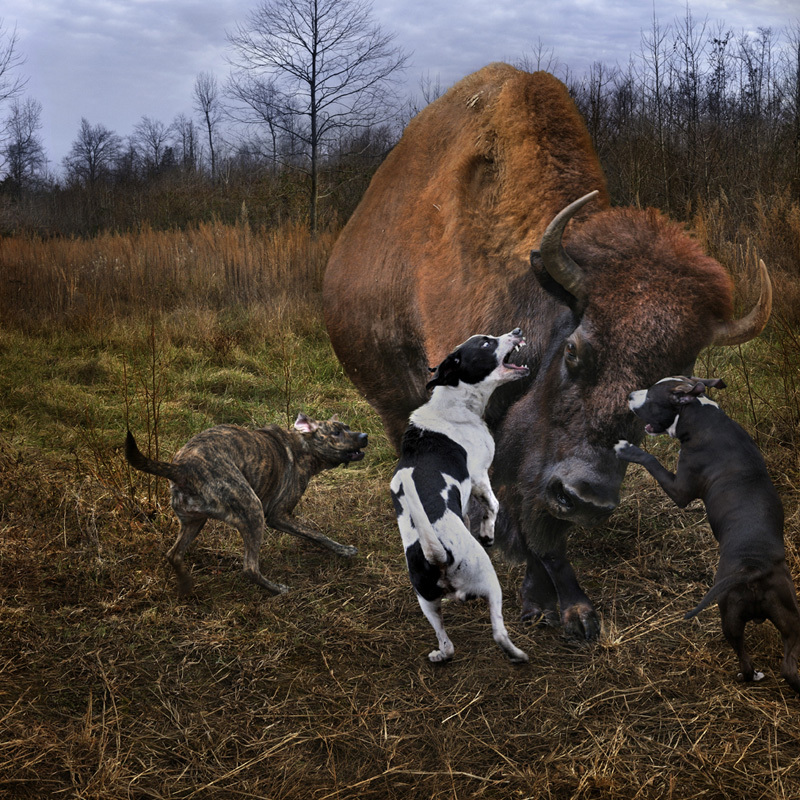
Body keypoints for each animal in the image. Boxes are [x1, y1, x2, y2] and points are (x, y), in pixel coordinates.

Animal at [126, 412, 368, 592]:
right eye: (336, 432)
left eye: (348, 426)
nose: (365, 435)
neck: (303, 446)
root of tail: (182, 468)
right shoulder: (279, 516)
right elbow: (317, 534)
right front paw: (343, 550)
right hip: (253, 510)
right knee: (250, 568)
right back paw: (276, 589)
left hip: (194, 522)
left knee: (174, 555)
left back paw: (186, 586)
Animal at [390, 326, 532, 664]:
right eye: (486, 343)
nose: (517, 330)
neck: (453, 404)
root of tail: (438, 555)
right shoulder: (480, 476)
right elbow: (493, 506)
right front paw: (488, 532)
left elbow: (470, 512)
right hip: (489, 582)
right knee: (499, 632)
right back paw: (518, 654)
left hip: (426, 601)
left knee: (447, 643)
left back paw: (440, 655)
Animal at [616, 376, 800, 692]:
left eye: (650, 396)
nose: (628, 394)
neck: (700, 415)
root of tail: (754, 569)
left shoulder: (680, 490)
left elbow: (651, 460)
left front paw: (627, 449)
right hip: (790, 616)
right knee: (789, 667)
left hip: (729, 616)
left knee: (747, 662)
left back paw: (748, 675)